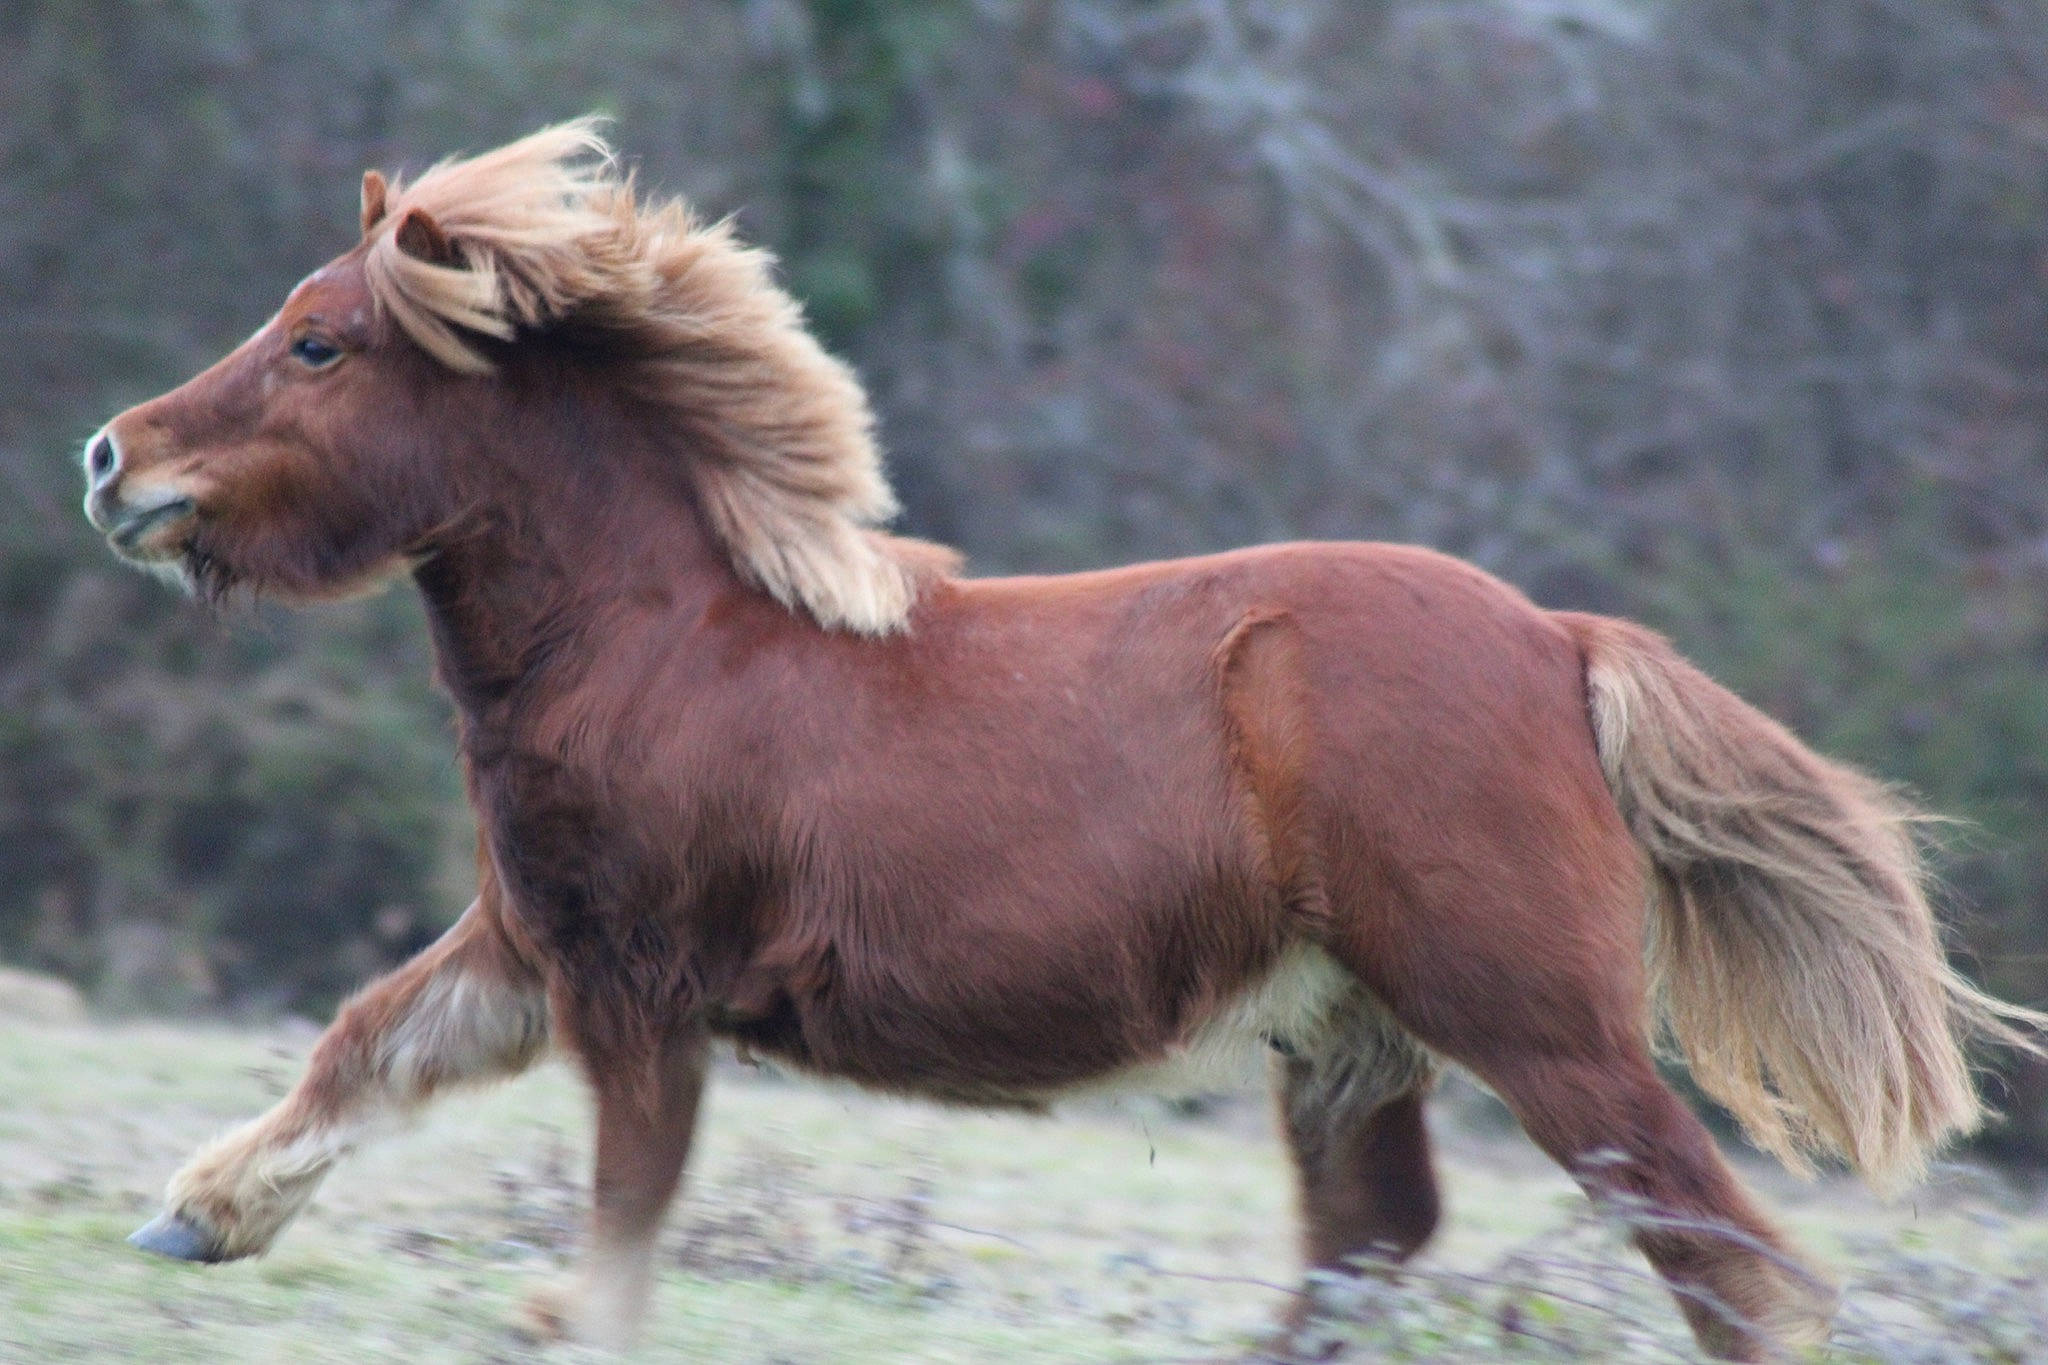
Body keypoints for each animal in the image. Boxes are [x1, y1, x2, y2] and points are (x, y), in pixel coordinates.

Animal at [82, 120, 2041, 1361]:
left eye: (321, 343)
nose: (111, 459)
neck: (667, 641)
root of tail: (1564, 642)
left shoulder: (636, 986)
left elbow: (624, 1200)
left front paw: (554, 1317)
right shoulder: (531, 942)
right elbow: (367, 1044)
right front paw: (198, 1213)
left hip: (1534, 1023)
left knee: (1726, 1261)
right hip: (1349, 1033)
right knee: (1373, 1247)